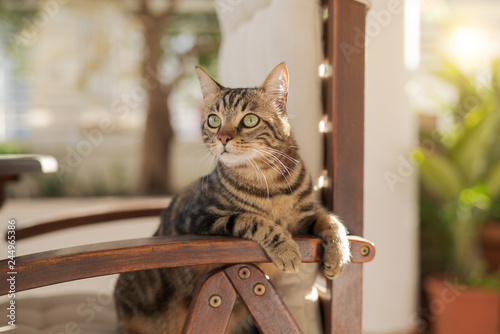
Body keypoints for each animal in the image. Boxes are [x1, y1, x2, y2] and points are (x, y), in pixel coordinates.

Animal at [114, 63, 350, 334]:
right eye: (213, 120)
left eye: (250, 119)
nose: (223, 138)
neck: (269, 182)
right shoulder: (200, 217)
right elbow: (253, 220)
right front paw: (287, 249)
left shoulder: (307, 217)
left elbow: (332, 221)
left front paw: (338, 254)